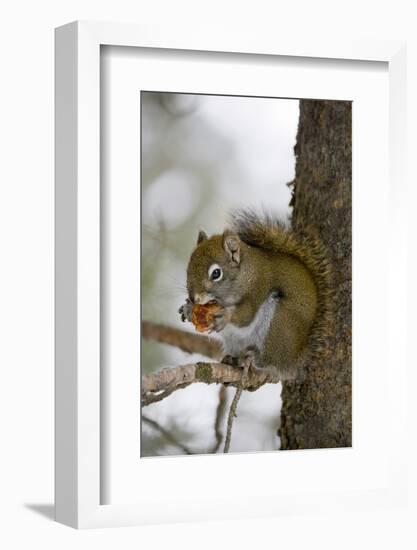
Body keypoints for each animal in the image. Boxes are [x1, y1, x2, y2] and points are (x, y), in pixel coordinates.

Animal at [178, 209, 332, 382]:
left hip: (279, 324)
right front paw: (188, 309)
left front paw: (225, 315)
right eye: (189, 266)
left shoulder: (258, 286)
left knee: (270, 361)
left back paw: (252, 359)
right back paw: (233, 359)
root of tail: (294, 360)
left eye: (216, 273)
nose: (194, 298)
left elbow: (246, 316)